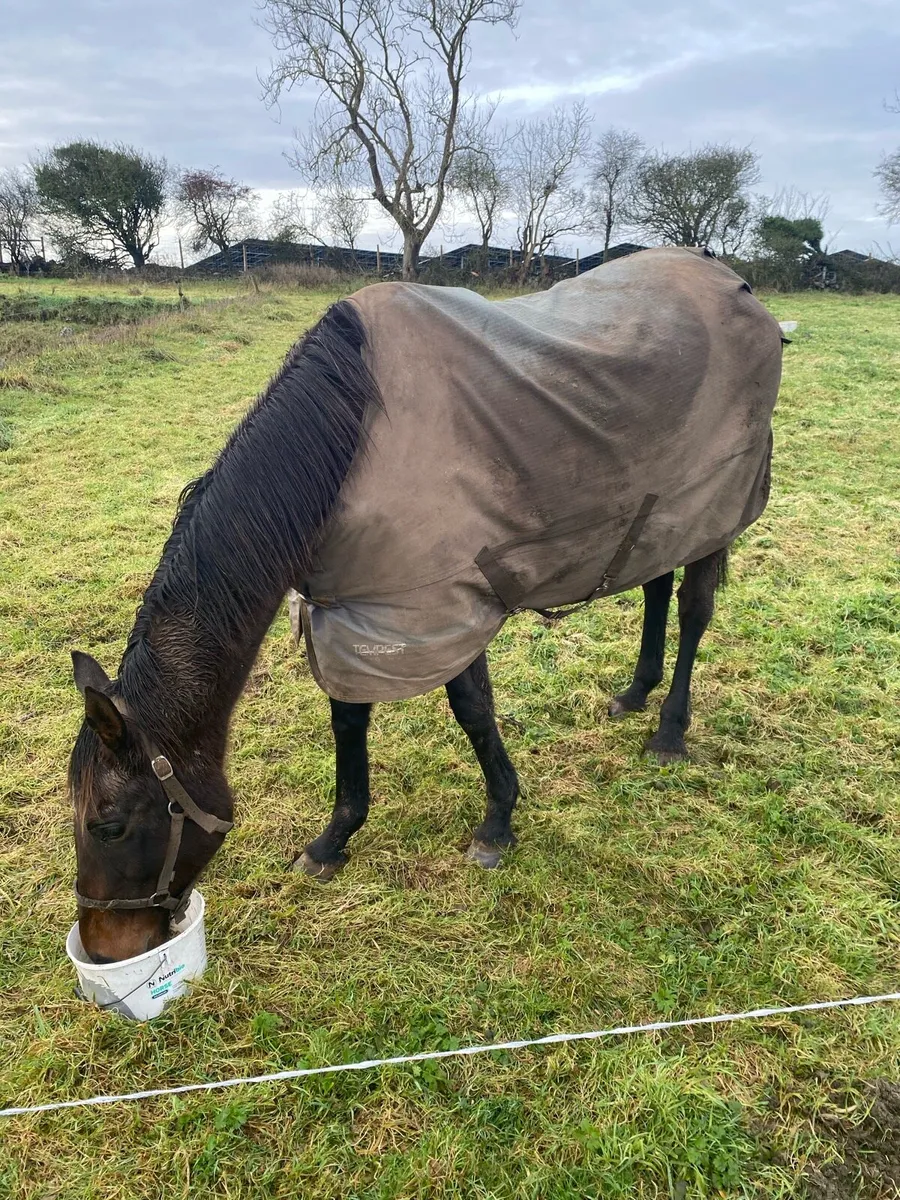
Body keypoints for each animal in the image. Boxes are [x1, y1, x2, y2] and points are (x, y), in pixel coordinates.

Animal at [68, 247, 784, 963]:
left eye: (109, 825)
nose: (103, 950)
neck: (347, 444)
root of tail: (739, 287)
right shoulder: (355, 611)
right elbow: (351, 719)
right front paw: (335, 839)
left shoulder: (439, 607)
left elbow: (470, 712)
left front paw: (496, 823)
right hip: (655, 515)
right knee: (655, 585)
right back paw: (635, 693)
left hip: (712, 509)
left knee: (693, 609)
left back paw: (668, 732)